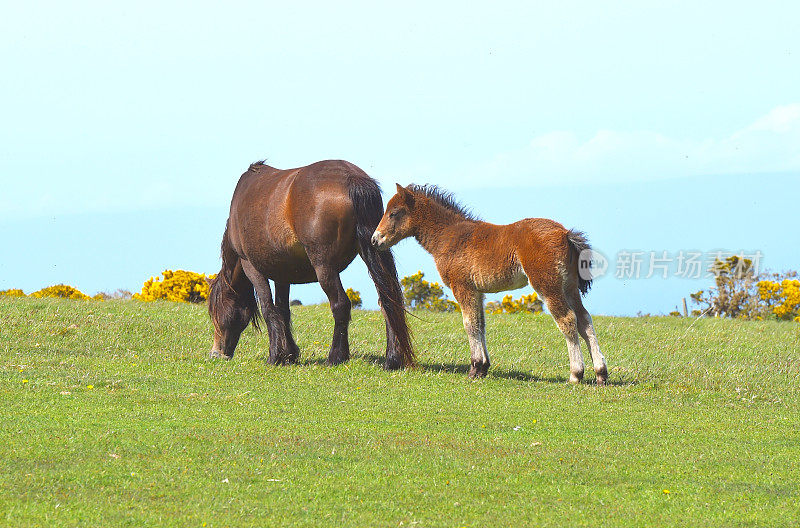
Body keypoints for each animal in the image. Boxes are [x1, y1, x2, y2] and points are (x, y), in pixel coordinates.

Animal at [209, 161, 416, 372]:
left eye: (215, 312)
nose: (216, 353)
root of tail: (352, 178)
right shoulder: (282, 274)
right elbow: (283, 310)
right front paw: (289, 354)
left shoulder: (251, 266)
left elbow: (268, 308)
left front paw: (275, 356)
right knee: (387, 301)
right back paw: (392, 359)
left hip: (324, 267)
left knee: (340, 304)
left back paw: (336, 357)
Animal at [372, 185, 608, 384]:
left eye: (393, 213)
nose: (375, 239)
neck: (449, 236)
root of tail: (565, 233)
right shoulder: (478, 292)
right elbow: (480, 324)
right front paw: (483, 367)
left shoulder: (463, 287)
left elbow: (469, 324)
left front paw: (475, 368)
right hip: (569, 287)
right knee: (585, 319)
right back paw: (600, 374)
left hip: (547, 285)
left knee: (568, 320)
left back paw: (576, 374)